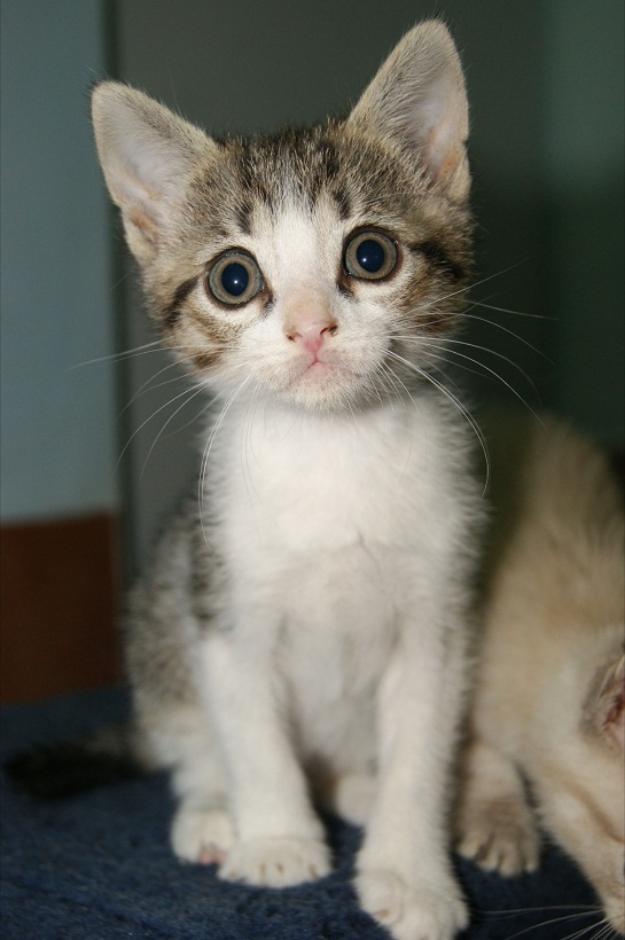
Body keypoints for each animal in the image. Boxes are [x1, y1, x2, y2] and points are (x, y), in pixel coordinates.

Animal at [92, 22, 480, 940]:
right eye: (233, 279)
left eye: (370, 255)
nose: (310, 328)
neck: (333, 449)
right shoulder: (222, 595)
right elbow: (250, 729)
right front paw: (275, 840)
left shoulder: (438, 614)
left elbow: (423, 742)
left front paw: (411, 871)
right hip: (161, 610)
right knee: (189, 736)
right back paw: (213, 811)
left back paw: (357, 790)